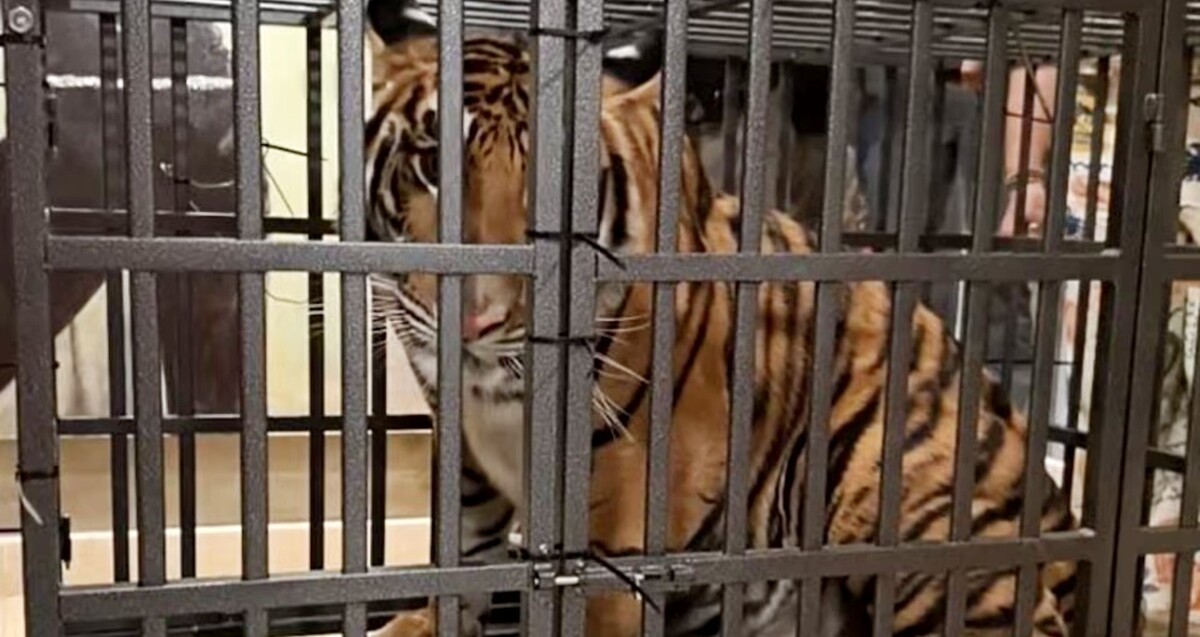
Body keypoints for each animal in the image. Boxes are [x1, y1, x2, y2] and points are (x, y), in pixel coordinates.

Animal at [363, 1, 1082, 635]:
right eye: (431, 166)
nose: (474, 324)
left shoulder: (624, 501)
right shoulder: (465, 458)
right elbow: (461, 559)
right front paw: (421, 621)